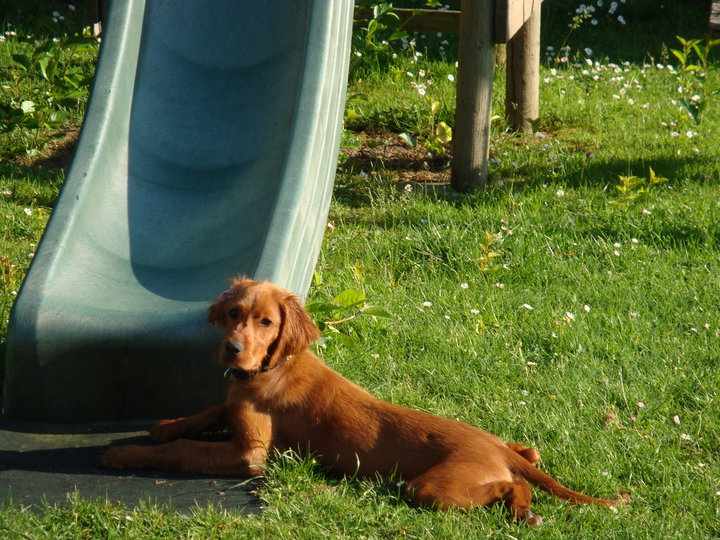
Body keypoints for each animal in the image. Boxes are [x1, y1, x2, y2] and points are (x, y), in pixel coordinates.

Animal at [104, 278, 628, 524]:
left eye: (266, 323)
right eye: (234, 314)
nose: (232, 349)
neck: (272, 366)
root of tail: (495, 448)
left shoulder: (248, 454)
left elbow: (184, 451)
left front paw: (124, 453)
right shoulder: (232, 407)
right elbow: (208, 412)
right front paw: (166, 423)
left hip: (431, 488)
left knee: (509, 485)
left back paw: (522, 509)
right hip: (504, 453)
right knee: (528, 460)